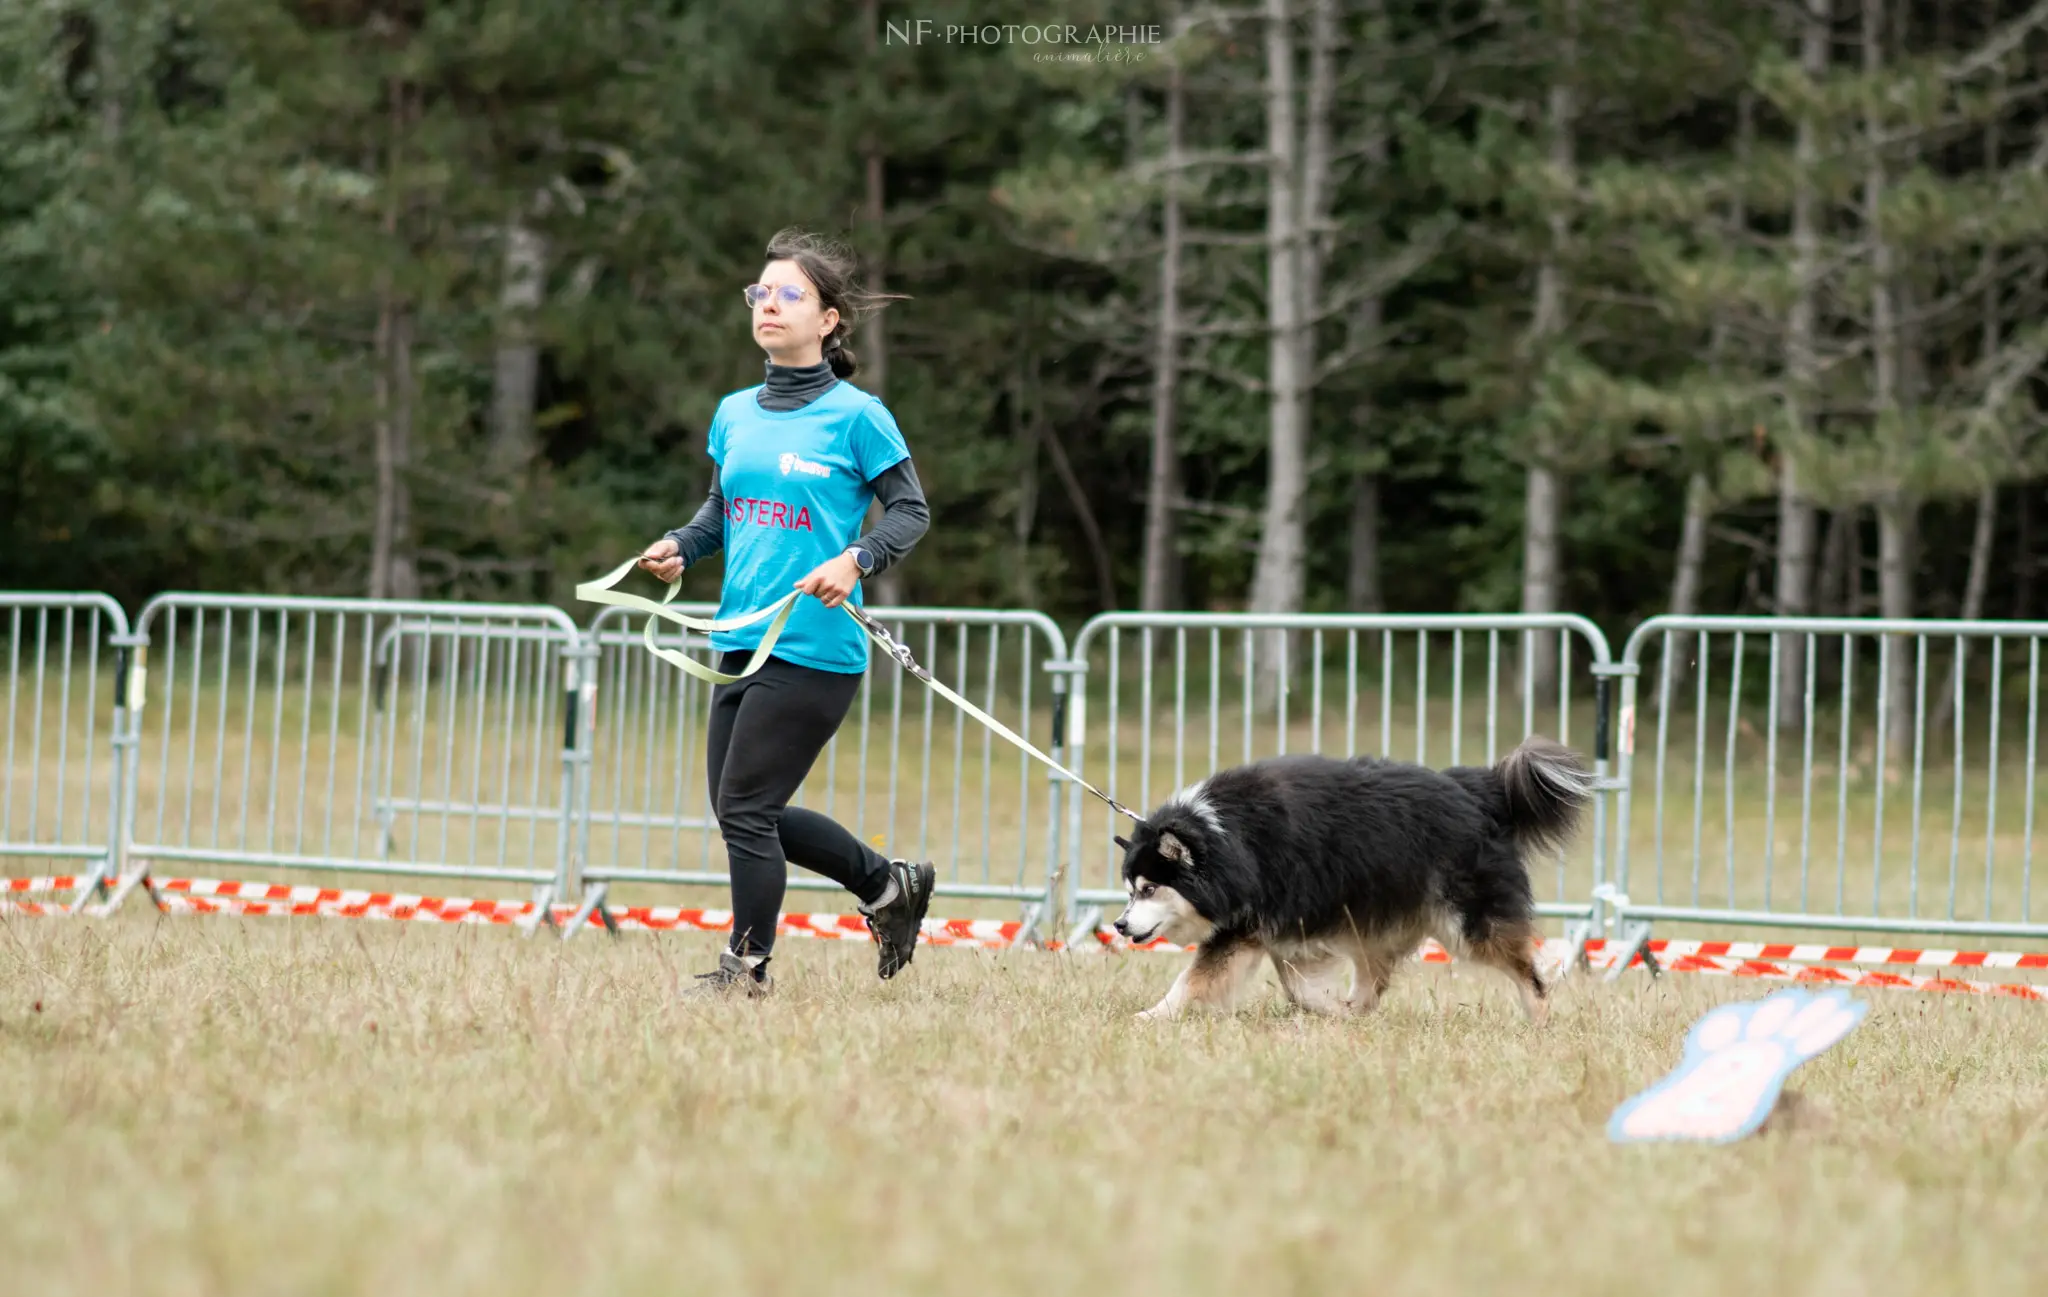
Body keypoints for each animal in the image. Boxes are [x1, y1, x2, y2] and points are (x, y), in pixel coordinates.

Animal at [1114, 737, 1589, 1020]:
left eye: (1150, 889)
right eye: (1130, 892)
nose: (1119, 925)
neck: (1225, 837)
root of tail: (1481, 791)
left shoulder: (1250, 919)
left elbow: (1195, 978)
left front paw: (1150, 1017)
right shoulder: (1283, 924)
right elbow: (1299, 986)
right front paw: (1328, 1011)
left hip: (1464, 919)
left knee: (1526, 968)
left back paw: (1539, 1018)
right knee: (1373, 974)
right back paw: (1354, 1010)